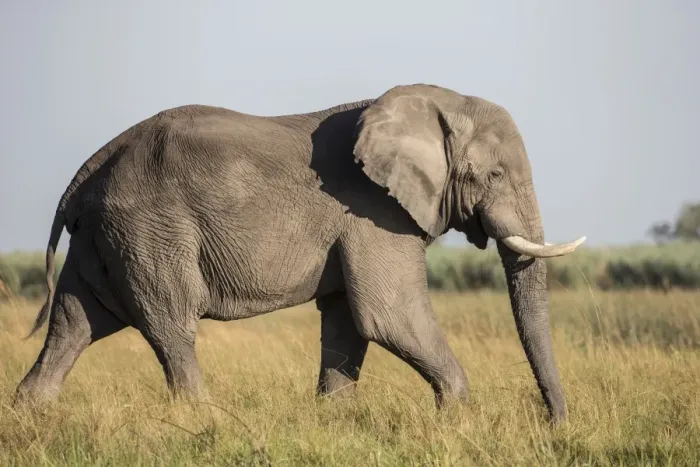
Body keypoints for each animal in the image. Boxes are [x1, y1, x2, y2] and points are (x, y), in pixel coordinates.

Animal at [15, 83, 585, 423]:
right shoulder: (372, 212)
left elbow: (348, 324)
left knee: (74, 325)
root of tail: (89, 169)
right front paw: (457, 420)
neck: (431, 101)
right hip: (149, 233)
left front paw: (336, 425)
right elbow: (388, 315)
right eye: (494, 175)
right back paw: (203, 421)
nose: (552, 424)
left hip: (105, 237)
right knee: (171, 328)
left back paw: (29, 418)